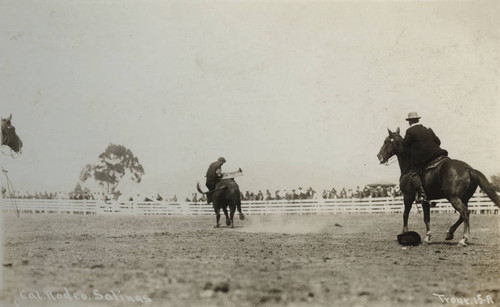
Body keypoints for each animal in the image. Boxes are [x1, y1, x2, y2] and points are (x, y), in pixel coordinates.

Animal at [378, 113, 500, 248]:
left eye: (386, 141)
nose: (379, 156)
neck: (408, 167)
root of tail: (469, 168)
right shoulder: (425, 201)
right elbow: (426, 219)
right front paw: (428, 237)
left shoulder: (408, 197)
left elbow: (405, 215)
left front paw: (405, 234)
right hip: (464, 198)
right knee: (464, 214)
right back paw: (450, 233)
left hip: (453, 197)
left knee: (465, 213)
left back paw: (464, 239)